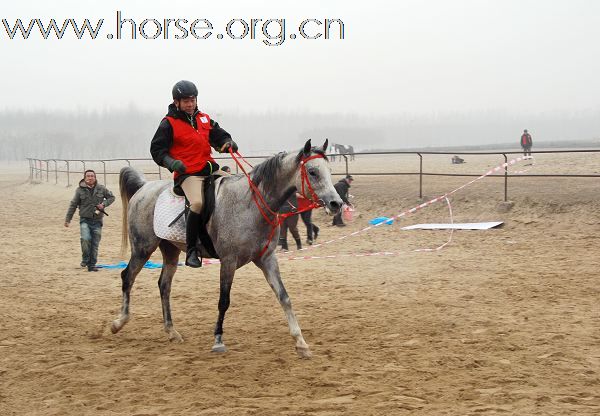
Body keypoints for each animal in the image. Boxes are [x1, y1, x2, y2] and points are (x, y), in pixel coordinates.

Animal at [109, 139, 342, 358]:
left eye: (329, 170)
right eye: (312, 172)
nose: (336, 204)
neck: (251, 204)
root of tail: (144, 187)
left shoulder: (267, 259)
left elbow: (284, 296)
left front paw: (301, 343)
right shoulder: (228, 262)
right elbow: (224, 301)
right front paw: (218, 340)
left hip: (170, 250)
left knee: (164, 286)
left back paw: (171, 331)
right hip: (142, 248)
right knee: (127, 277)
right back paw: (119, 322)